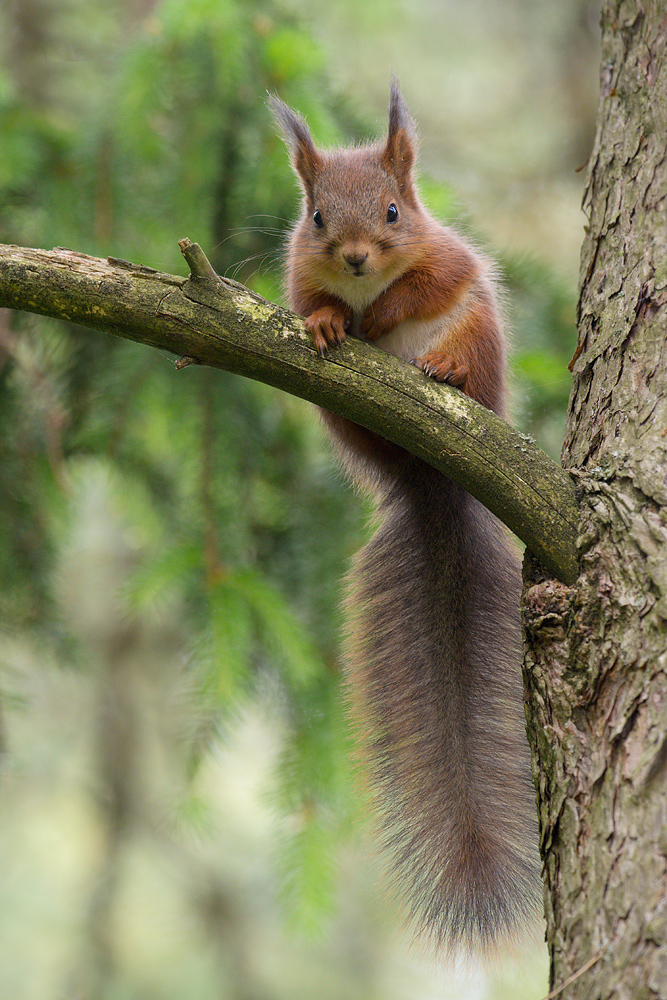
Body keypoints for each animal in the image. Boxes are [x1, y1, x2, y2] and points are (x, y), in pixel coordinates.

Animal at [268, 84, 540, 952]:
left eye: (392, 211)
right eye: (317, 216)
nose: (356, 258)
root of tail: (431, 478)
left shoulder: (446, 258)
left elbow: (424, 286)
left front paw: (382, 306)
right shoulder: (295, 274)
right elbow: (309, 302)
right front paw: (331, 320)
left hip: (480, 341)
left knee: (460, 348)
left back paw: (443, 369)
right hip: (342, 418)